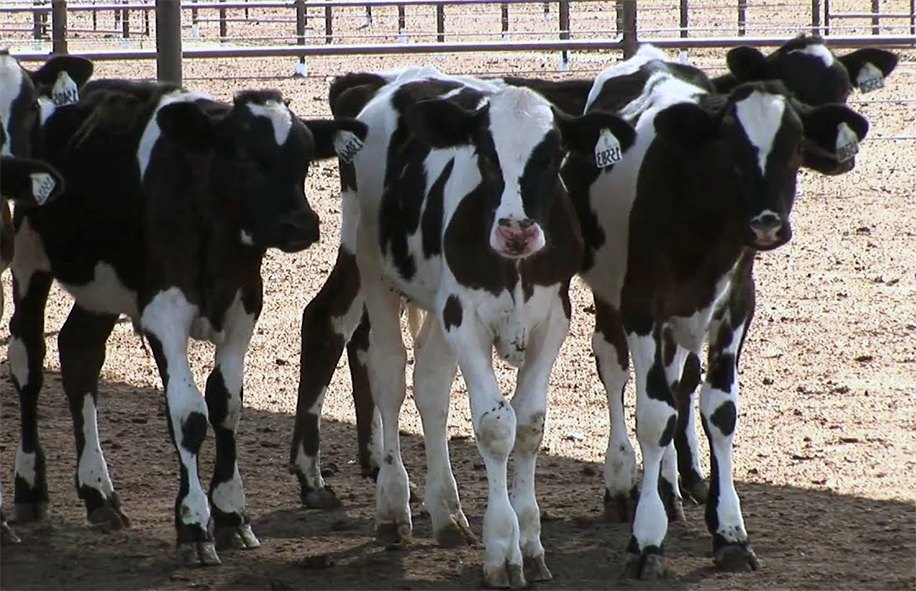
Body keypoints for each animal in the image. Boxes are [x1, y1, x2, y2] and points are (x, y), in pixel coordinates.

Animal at [7, 79, 367, 565]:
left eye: (306, 156)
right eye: (245, 156)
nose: (302, 224)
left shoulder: (243, 307)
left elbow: (227, 404)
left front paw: (232, 515)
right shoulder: (165, 312)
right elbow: (189, 413)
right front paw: (194, 524)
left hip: (104, 287)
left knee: (79, 352)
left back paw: (98, 494)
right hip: (29, 259)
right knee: (28, 359)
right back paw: (30, 487)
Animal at [291, 65, 636, 588]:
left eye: (552, 154)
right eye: (486, 155)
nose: (517, 228)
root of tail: (386, 81)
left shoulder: (552, 318)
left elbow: (529, 424)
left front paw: (530, 543)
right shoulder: (464, 317)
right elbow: (495, 427)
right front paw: (502, 550)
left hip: (436, 305)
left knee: (431, 387)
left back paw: (447, 511)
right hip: (372, 267)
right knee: (388, 375)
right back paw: (394, 505)